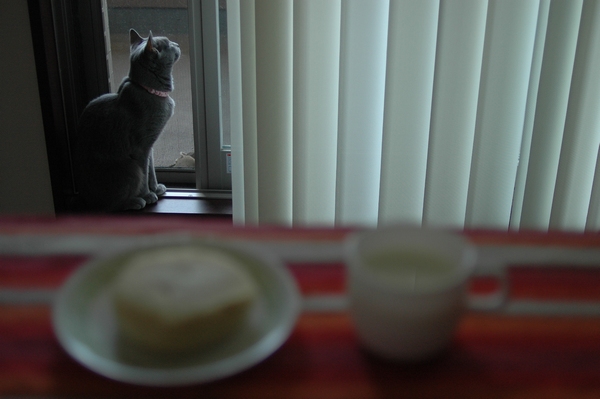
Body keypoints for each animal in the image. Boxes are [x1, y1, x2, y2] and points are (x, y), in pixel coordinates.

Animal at [73, 28, 180, 212]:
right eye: (168, 44)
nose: (177, 44)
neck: (149, 90)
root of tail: (85, 199)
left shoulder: (149, 145)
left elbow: (151, 170)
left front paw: (155, 188)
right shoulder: (141, 147)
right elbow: (144, 172)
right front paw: (147, 194)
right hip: (130, 167)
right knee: (110, 205)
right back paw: (135, 201)